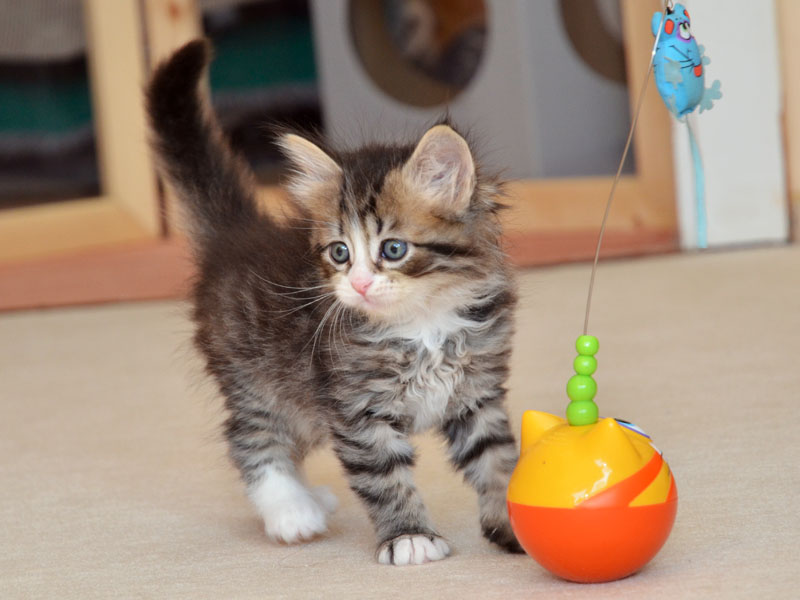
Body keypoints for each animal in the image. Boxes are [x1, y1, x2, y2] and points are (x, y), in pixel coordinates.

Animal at [145, 39, 522, 565]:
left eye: (393, 249)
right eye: (339, 253)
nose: (359, 284)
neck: (423, 323)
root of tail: (239, 235)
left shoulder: (477, 395)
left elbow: (496, 460)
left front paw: (515, 522)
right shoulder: (356, 409)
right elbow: (385, 479)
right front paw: (409, 536)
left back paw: (310, 499)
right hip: (261, 382)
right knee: (249, 438)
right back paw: (291, 510)